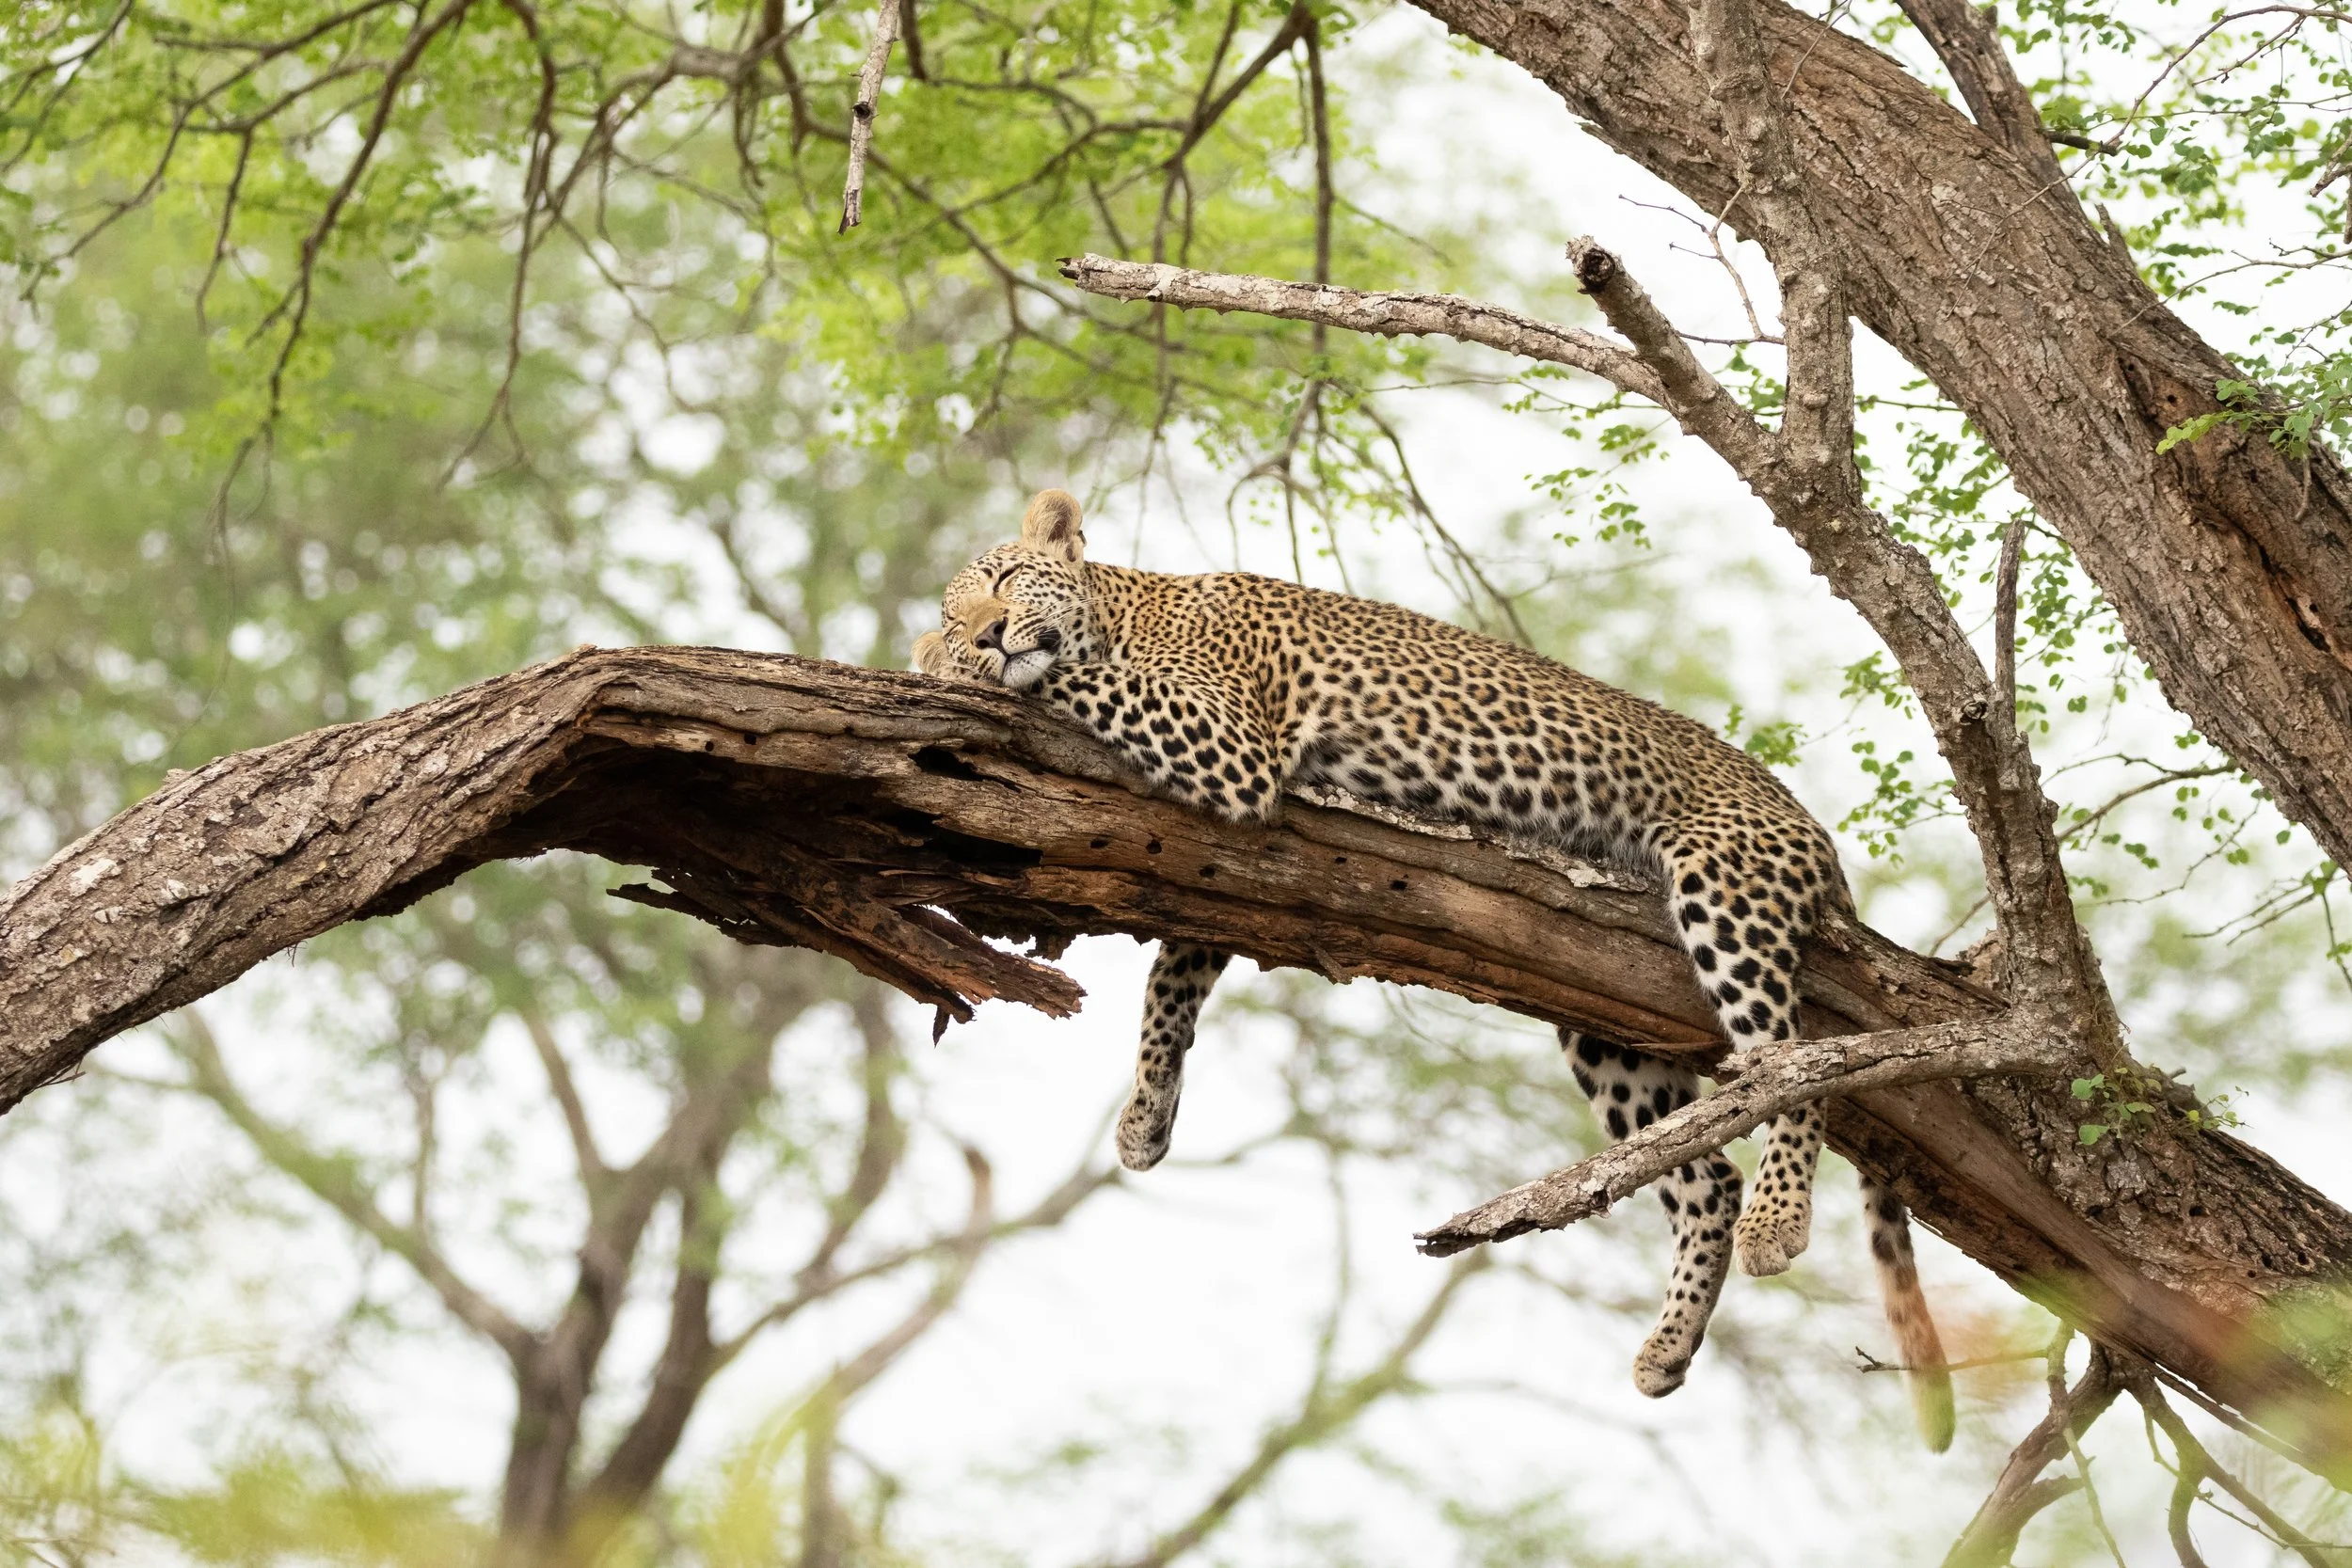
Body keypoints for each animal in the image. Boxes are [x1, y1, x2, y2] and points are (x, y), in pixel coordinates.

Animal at [915, 489, 1953, 1446]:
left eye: (1004, 581)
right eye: (962, 605)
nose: (984, 632)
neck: (1126, 603)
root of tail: (1812, 828)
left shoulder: (1228, 742)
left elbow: (1074, 675)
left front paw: (955, 664)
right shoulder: (1219, 854)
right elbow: (1172, 982)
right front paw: (1143, 1118)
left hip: (1724, 882)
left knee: (1793, 1061)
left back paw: (1778, 1219)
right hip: (1604, 1023)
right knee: (1706, 1175)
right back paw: (1667, 1346)